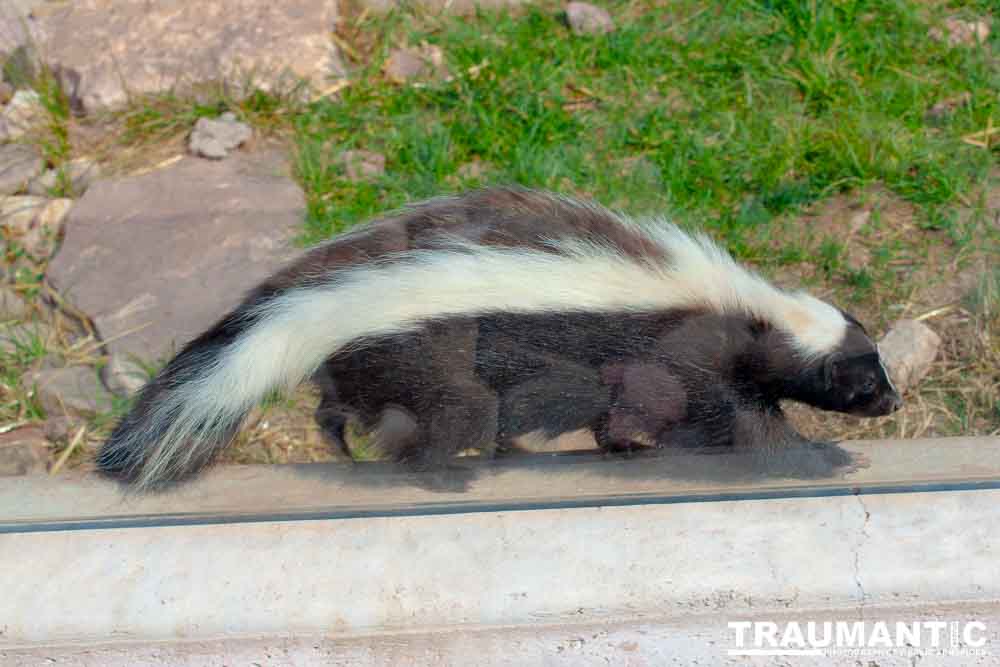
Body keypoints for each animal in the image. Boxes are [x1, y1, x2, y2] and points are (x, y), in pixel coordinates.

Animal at [97, 185, 904, 488]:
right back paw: (446, 473)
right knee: (439, 423)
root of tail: (333, 299)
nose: (893, 404)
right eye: (864, 380)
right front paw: (826, 456)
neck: (754, 312)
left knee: (342, 409)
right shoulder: (687, 355)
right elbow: (737, 422)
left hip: (375, 364)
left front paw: (621, 449)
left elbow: (628, 418)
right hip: (437, 361)